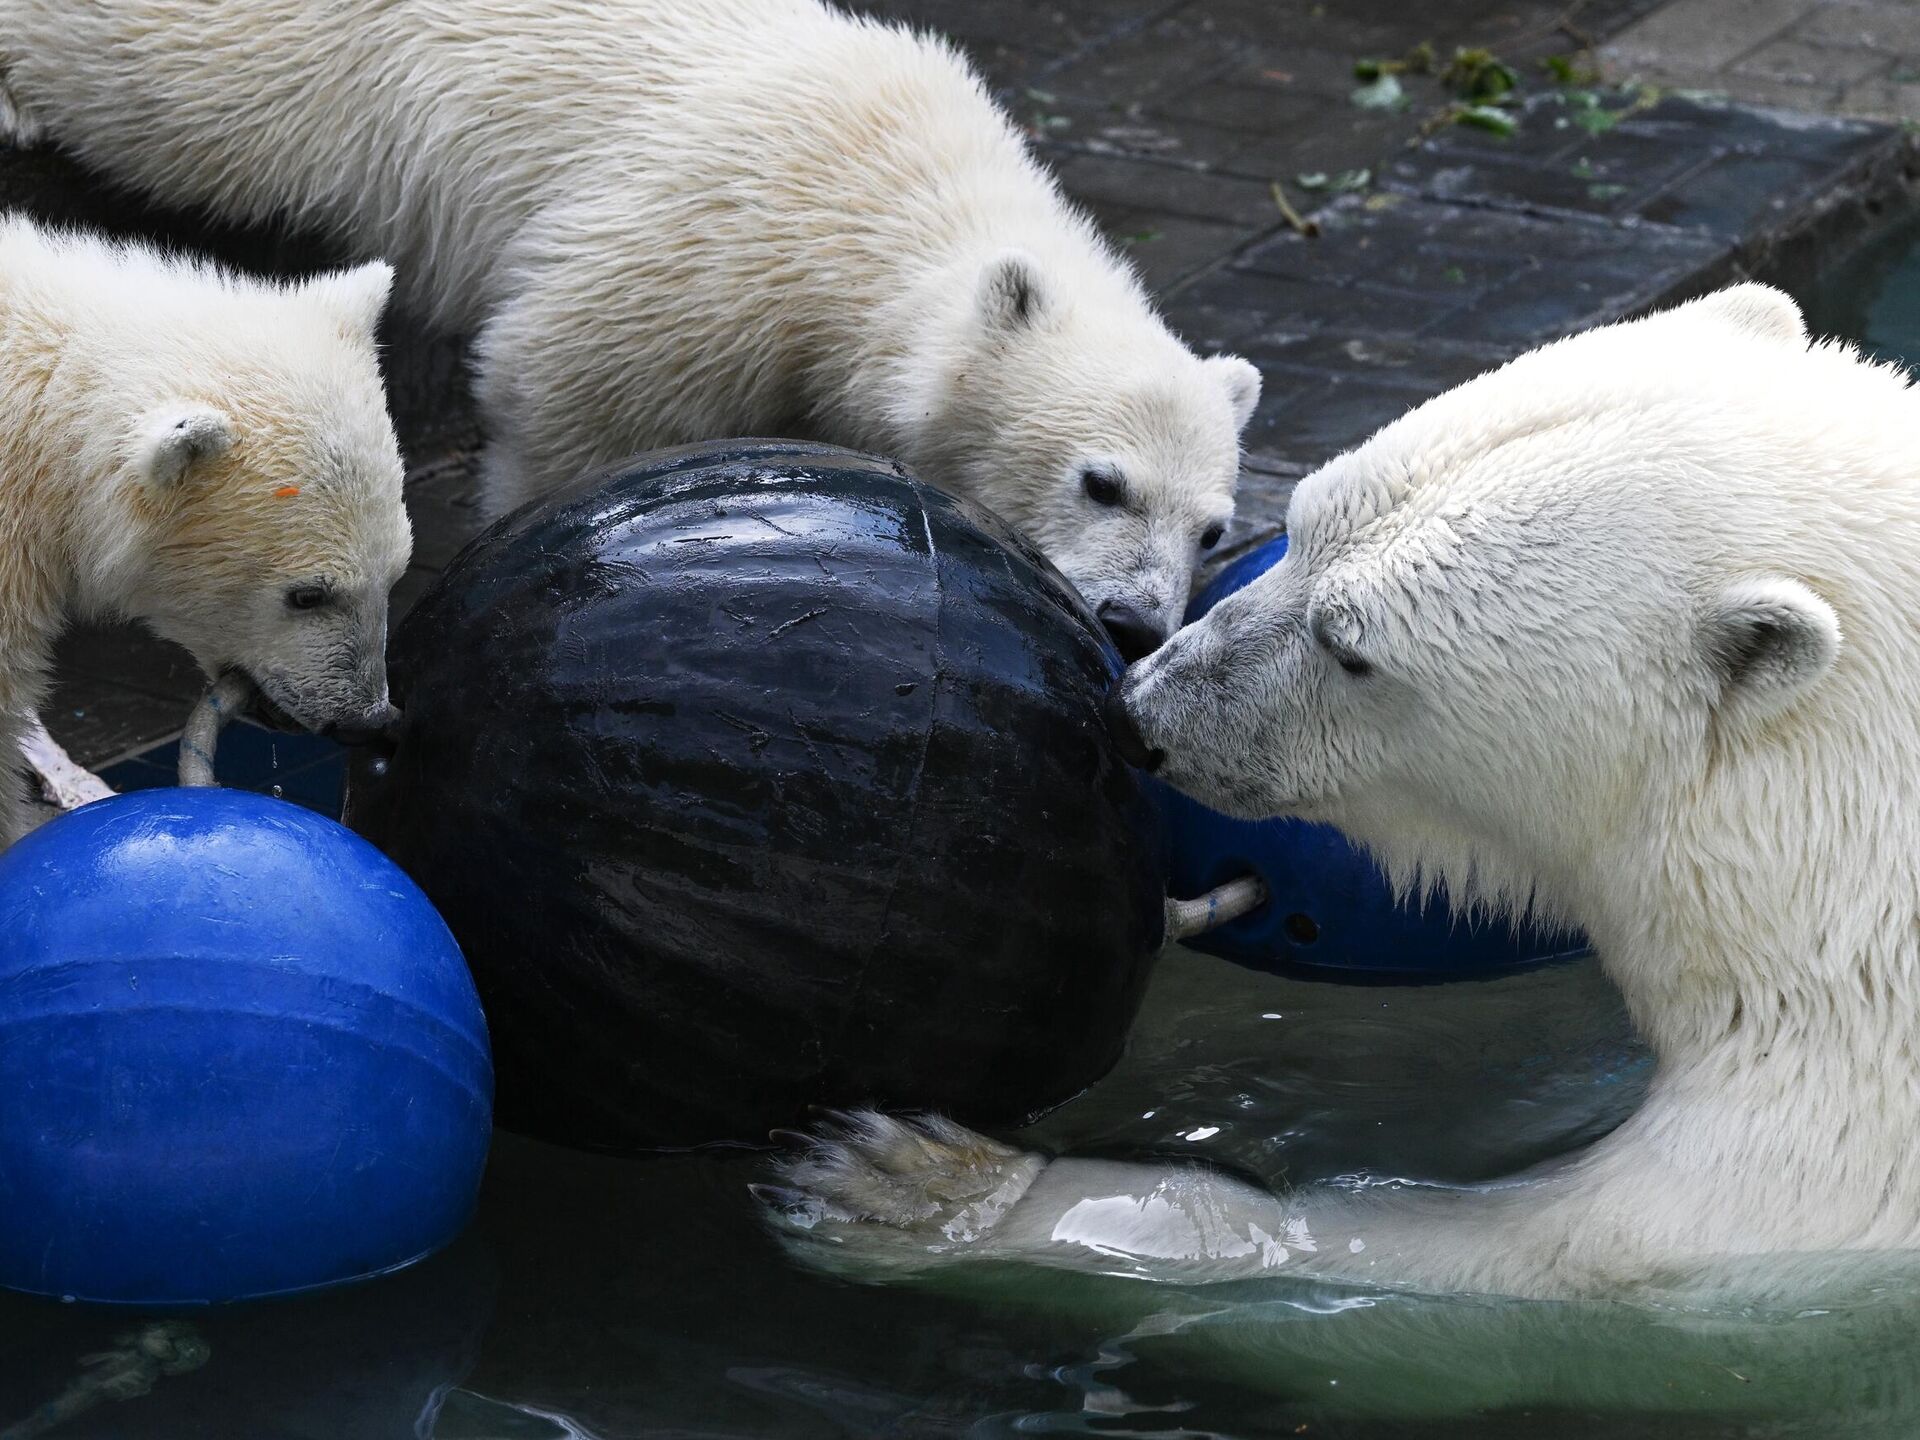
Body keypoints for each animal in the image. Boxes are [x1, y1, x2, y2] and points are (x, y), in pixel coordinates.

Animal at [0, 0, 1259, 664]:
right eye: (1103, 482)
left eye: (1211, 531)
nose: (1136, 621)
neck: (898, 191)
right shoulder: (719, 243)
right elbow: (564, 380)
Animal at [752, 284, 1920, 1305]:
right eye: (1296, 531)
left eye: (1351, 647)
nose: (1138, 713)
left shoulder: (1818, 1150)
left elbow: (1517, 1248)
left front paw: (929, 1188)